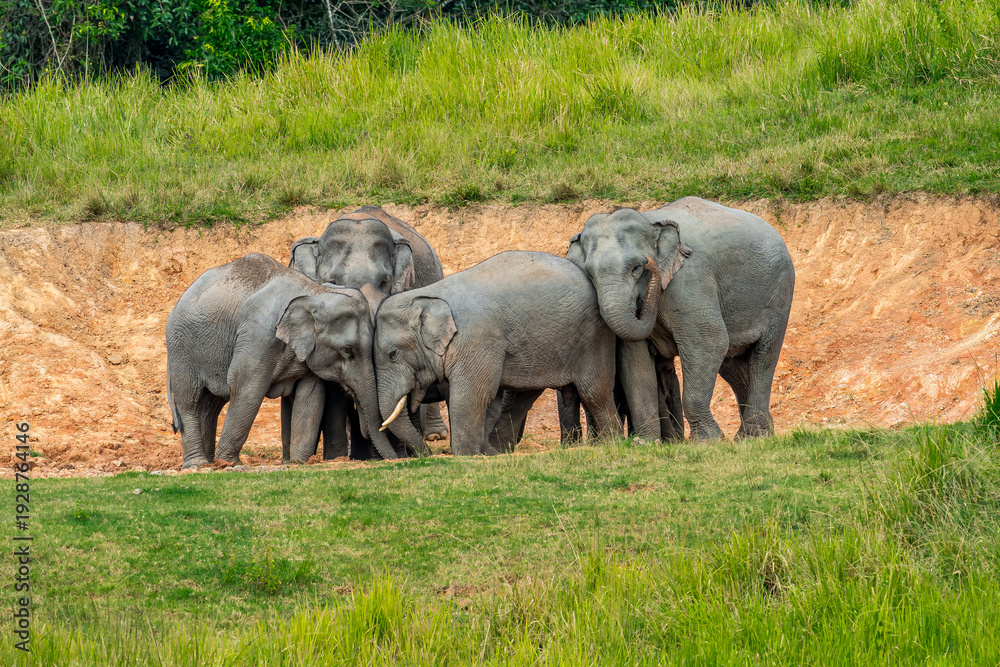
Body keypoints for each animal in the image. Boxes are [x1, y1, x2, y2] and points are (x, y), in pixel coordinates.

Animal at [165, 253, 397, 468]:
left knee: (210, 405)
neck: (314, 291)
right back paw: (198, 464)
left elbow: (310, 396)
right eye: (347, 350)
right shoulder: (258, 336)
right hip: (181, 349)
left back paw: (209, 462)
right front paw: (230, 464)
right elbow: (246, 388)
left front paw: (298, 462)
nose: (398, 459)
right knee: (190, 400)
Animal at [375, 251, 625, 456]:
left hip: (593, 337)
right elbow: (490, 399)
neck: (428, 294)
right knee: (525, 395)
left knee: (594, 392)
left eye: (392, 354)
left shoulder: (475, 339)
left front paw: (467, 455)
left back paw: (611, 444)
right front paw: (486, 453)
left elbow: (471, 396)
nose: (425, 454)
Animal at [567, 196, 795, 441]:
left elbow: (709, 341)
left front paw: (708, 440)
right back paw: (752, 434)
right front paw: (644, 442)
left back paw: (755, 436)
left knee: (763, 356)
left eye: (637, 268)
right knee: (733, 366)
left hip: (780, 293)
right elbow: (634, 360)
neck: (649, 220)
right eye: (590, 275)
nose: (649, 263)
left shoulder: (690, 280)